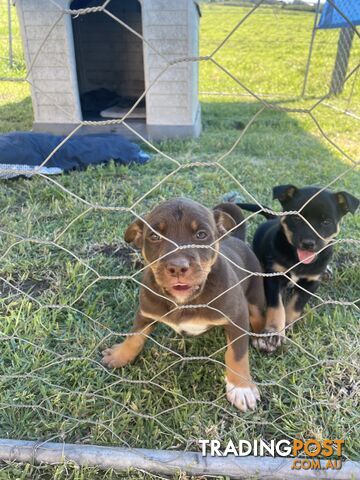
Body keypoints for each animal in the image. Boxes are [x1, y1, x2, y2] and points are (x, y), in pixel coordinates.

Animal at [101, 199, 264, 412]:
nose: (177, 267)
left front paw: (241, 387)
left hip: (256, 293)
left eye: (201, 235)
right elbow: (135, 336)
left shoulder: (237, 317)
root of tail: (237, 238)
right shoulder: (146, 311)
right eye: (154, 236)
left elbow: (237, 353)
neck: (185, 301)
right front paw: (120, 355)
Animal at [238, 185, 358, 352]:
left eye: (326, 222)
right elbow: (277, 307)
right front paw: (272, 334)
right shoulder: (274, 276)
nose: (308, 243)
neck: (298, 260)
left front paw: (287, 325)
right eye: (296, 218)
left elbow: (296, 305)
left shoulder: (311, 282)